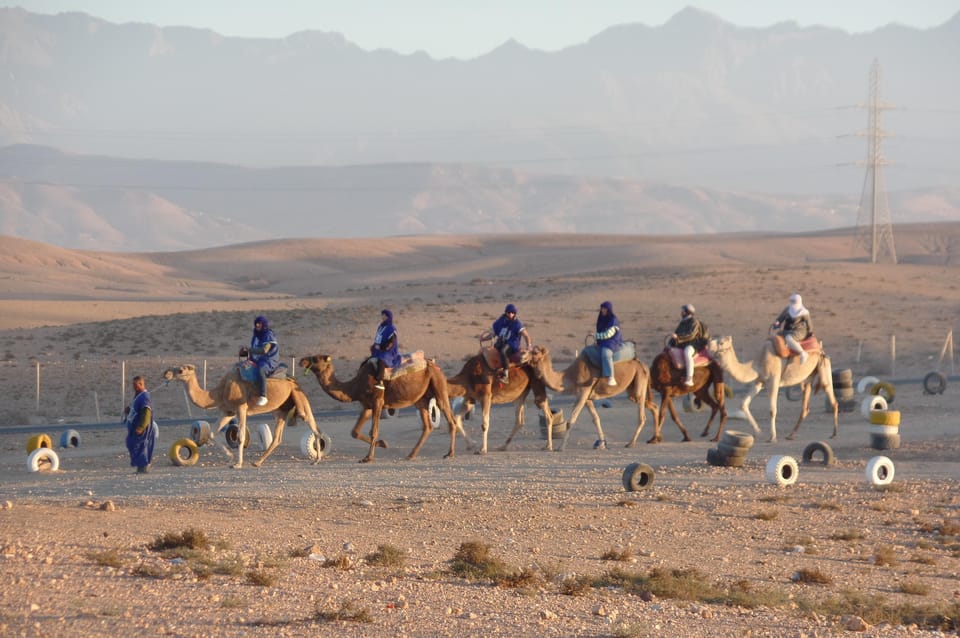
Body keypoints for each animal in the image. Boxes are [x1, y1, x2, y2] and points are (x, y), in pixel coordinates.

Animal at [162, 364, 325, 468]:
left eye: (180, 370)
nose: (166, 373)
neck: (219, 392)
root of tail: (293, 380)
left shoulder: (241, 408)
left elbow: (240, 436)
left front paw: (238, 464)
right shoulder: (228, 411)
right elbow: (212, 433)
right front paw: (230, 458)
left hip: (299, 397)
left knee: (314, 426)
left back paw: (316, 460)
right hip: (280, 410)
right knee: (277, 438)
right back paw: (257, 462)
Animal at [299, 354, 467, 463]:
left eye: (316, 358)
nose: (301, 360)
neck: (355, 386)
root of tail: (436, 366)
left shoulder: (377, 401)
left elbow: (373, 431)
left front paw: (368, 457)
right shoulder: (366, 406)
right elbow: (355, 432)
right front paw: (383, 444)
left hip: (438, 387)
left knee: (450, 419)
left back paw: (449, 454)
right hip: (421, 399)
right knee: (427, 426)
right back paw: (411, 455)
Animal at [526, 345, 659, 451]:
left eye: (535, 352)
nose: (523, 355)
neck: (570, 376)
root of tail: (644, 365)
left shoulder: (583, 394)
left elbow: (571, 421)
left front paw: (560, 447)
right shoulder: (587, 398)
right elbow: (596, 419)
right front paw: (602, 444)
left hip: (639, 382)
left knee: (642, 415)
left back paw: (631, 443)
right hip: (632, 390)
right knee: (654, 407)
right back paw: (655, 438)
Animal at [710, 335, 839, 443]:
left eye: (721, 342)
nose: (708, 346)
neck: (757, 363)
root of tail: (820, 348)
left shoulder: (773, 381)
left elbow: (772, 410)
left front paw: (772, 437)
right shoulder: (759, 382)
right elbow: (743, 404)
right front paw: (758, 431)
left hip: (824, 366)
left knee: (832, 399)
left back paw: (834, 434)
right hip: (808, 378)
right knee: (805, 408)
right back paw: (791, 435)